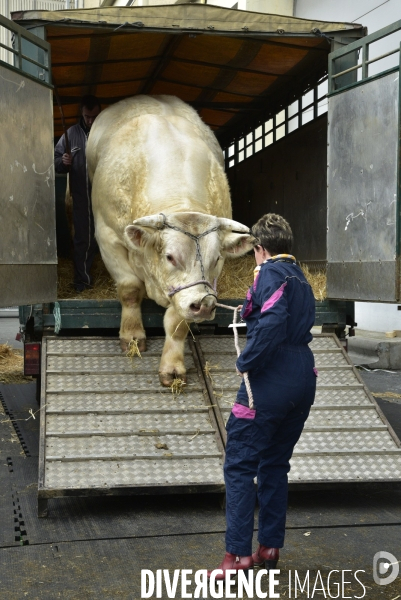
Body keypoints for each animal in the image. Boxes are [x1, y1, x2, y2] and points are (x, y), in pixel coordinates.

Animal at [86, 94, 253, 384]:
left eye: (216, 259)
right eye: (170, 256)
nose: (204, 304)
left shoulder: (185, 294)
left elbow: (177, 323)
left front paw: (172, 366)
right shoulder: (108, 238)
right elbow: (129, 289)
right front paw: (132, 335)